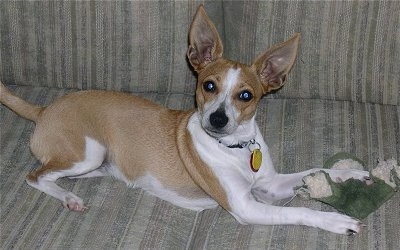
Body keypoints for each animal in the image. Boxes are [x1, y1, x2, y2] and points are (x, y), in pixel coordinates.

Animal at [0, 4, 370, 234]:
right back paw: (69, 198)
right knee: (35, 176)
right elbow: (297, 212)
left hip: (96, 162)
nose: (218, 119)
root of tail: (44, 109)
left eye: (246, 95)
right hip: (87, 153)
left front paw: (353, 173)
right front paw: (338, 222)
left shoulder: (270, 184)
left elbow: (315, 170)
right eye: (209, 85)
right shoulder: (247, 206)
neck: (236, 148)